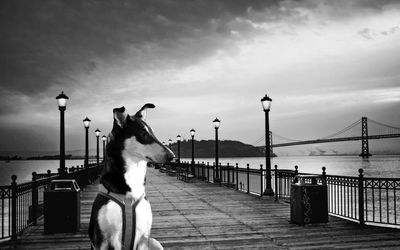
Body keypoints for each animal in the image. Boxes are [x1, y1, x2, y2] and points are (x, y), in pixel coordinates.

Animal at [89, 104, 173, 249]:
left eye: (154, 132)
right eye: (143, 134)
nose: (172, 156)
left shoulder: (143, 237)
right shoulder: (102, 240)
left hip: (154, 242)